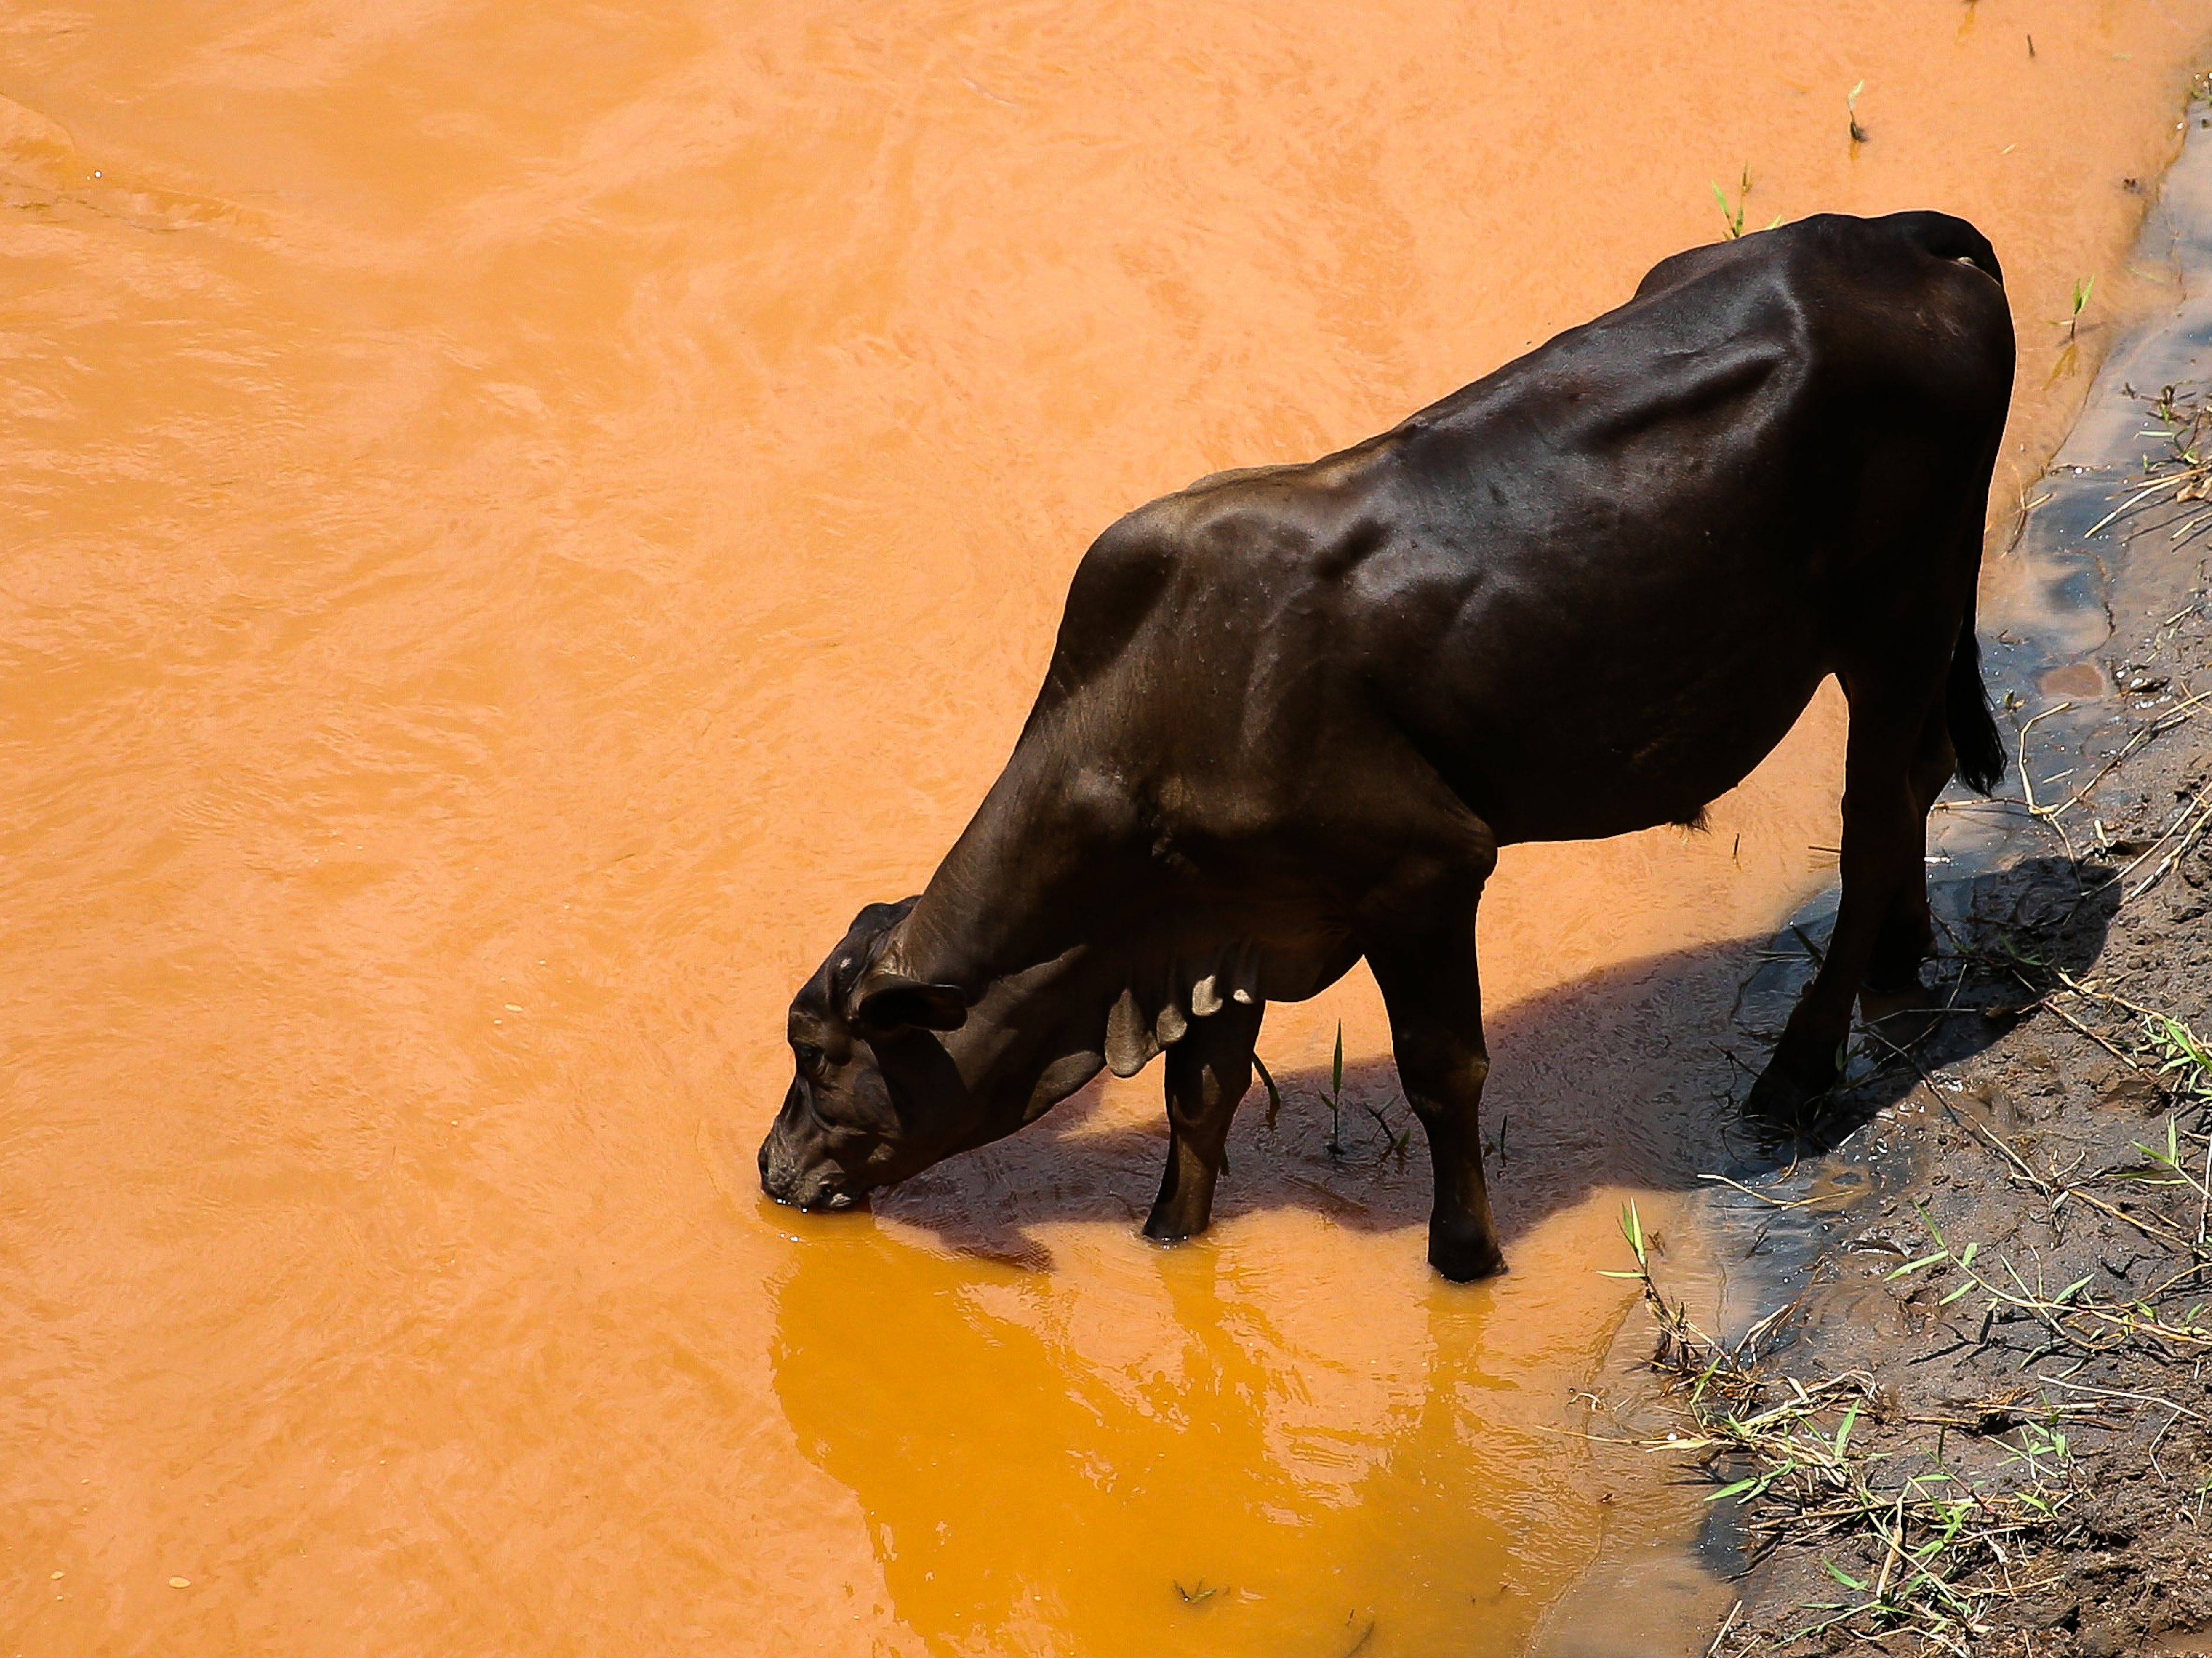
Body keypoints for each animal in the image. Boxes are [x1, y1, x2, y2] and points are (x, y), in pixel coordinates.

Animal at [752, 211, 2017, 1282]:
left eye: (819, 1055)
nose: (770, 1169)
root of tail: (1895, 235)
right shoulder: (1230, 915)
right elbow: (1199, 1093)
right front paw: (1169, 1236)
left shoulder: (1422, 872)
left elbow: (1439, 1072)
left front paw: (1464, 1255)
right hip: (1918, 611)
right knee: (1912, 782)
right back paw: (1902, 956)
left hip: (1894, 617)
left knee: (1868, 822)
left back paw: (1797, 1066)